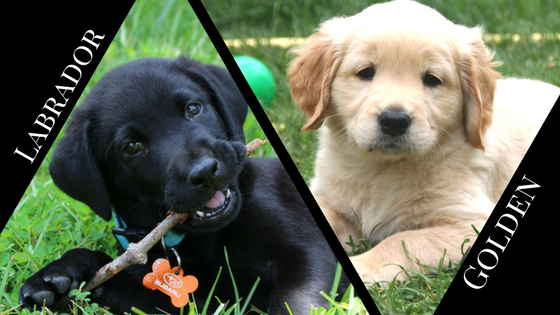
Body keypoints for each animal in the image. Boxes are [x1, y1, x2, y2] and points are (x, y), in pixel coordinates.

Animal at [18, 57, 342, 315]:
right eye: (132, 146)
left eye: (193, 108)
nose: (205, 172)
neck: (202, 239)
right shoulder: (195, 301)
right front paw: (60, 273)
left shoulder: (308, 249)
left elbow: (296, 302)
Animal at [286, 0, 556, 286]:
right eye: (366, 72)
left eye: (432, 79)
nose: (394, 121)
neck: (383, 169)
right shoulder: (330, 199)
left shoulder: (467, 222)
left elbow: (402, 240)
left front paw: (361, 267)